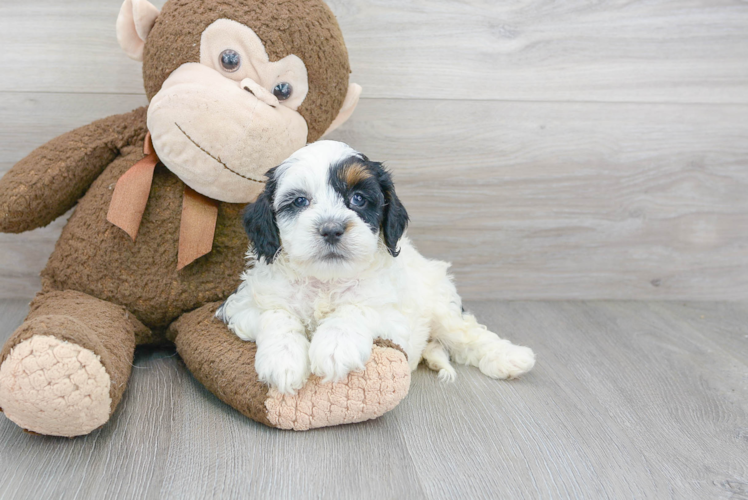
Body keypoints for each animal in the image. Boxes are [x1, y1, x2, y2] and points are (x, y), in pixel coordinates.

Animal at [218, 141, 536, 394]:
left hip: (441, 304)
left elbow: (356, 309)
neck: (326, 281)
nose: (331, 229)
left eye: (358, 199)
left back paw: (511, 358)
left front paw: (335, 346)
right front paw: (283, 360)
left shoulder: (396, 321)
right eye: (299, 201)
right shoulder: (240, 307)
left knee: (468, 334)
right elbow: (277, 314)